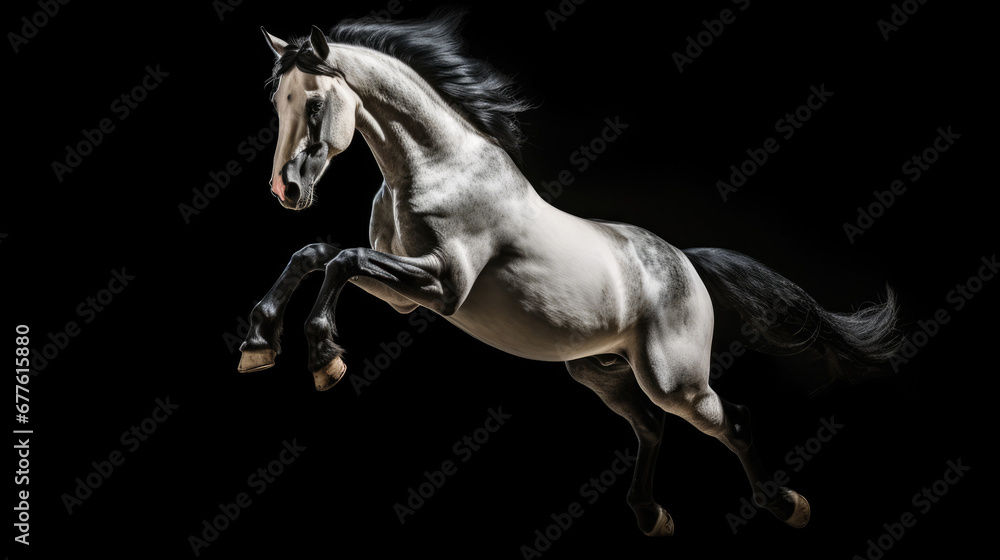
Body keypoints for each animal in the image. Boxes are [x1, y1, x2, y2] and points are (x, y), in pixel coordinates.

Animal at [238, 9, 901, 537]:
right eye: (275, 102)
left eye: (314, 103)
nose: (285, 190)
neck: (437, 169)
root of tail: (686, 262)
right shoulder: (406, 295)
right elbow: (315, 255)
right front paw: (258, 346)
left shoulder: (443, 287)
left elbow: (341, 259)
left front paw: (324, 359)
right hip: (599, 370)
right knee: (652, 426)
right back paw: (651, 516)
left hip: (674, 377)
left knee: (727, 420)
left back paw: (787, 505)